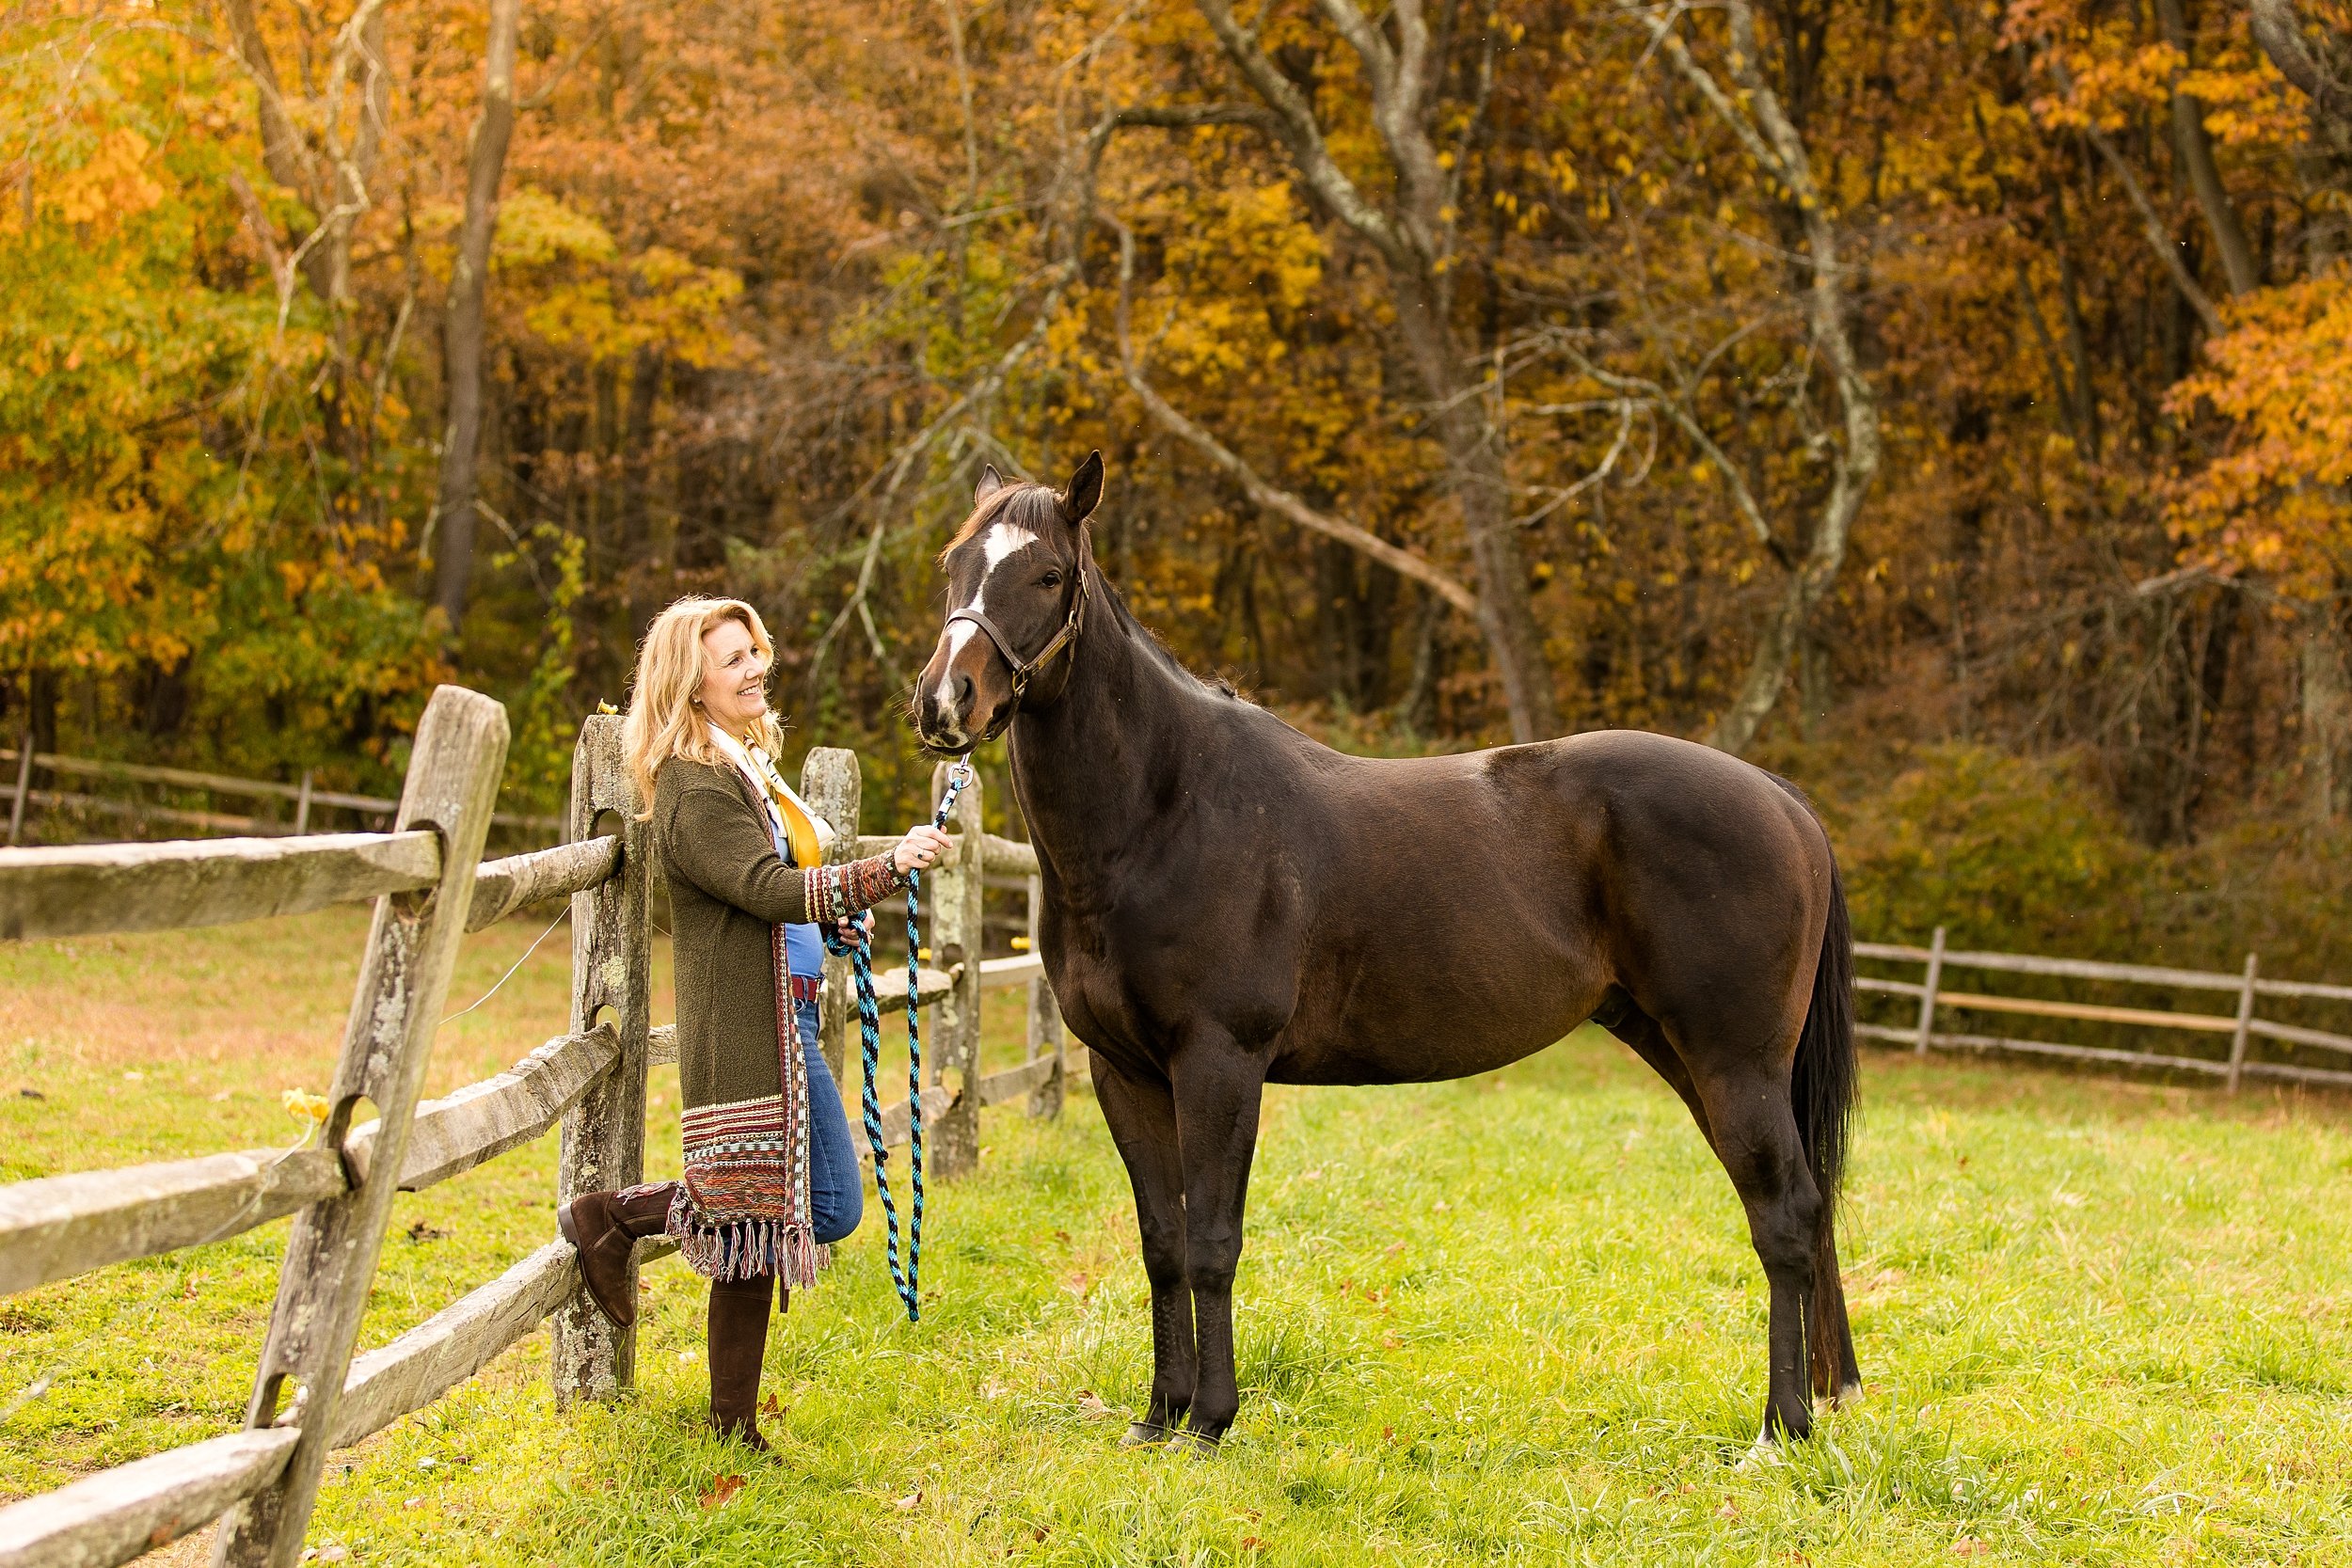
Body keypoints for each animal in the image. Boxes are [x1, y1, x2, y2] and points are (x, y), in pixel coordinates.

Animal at [913, 453, 1853, 1457]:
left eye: (1049, 574)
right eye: (953, 565)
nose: (945, 701)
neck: (1168, 809)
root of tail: (1782, 798)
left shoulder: (1219, 1062)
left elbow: (1212, 1241)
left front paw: (1210, 1422)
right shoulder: (1122, 1070)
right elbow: (1163, 1243)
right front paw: (1160, 1415)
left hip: (1733, 1062)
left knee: (1786, 1217)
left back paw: (1781, 1429)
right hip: (1691, 1057)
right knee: (1802, 1209)